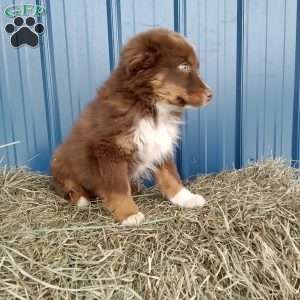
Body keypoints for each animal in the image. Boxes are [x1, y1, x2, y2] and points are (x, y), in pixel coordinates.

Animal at [50, 28, 212, 225]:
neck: (150, 106)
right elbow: (118, 187)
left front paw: (185, 198)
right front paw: (129, 214)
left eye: (195, 66)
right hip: (59, 161)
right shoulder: (108, 150)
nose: (211, 95)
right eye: (184, 66)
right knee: (68, 187)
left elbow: (171, 175)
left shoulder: (160, 143)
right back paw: (81, 199)